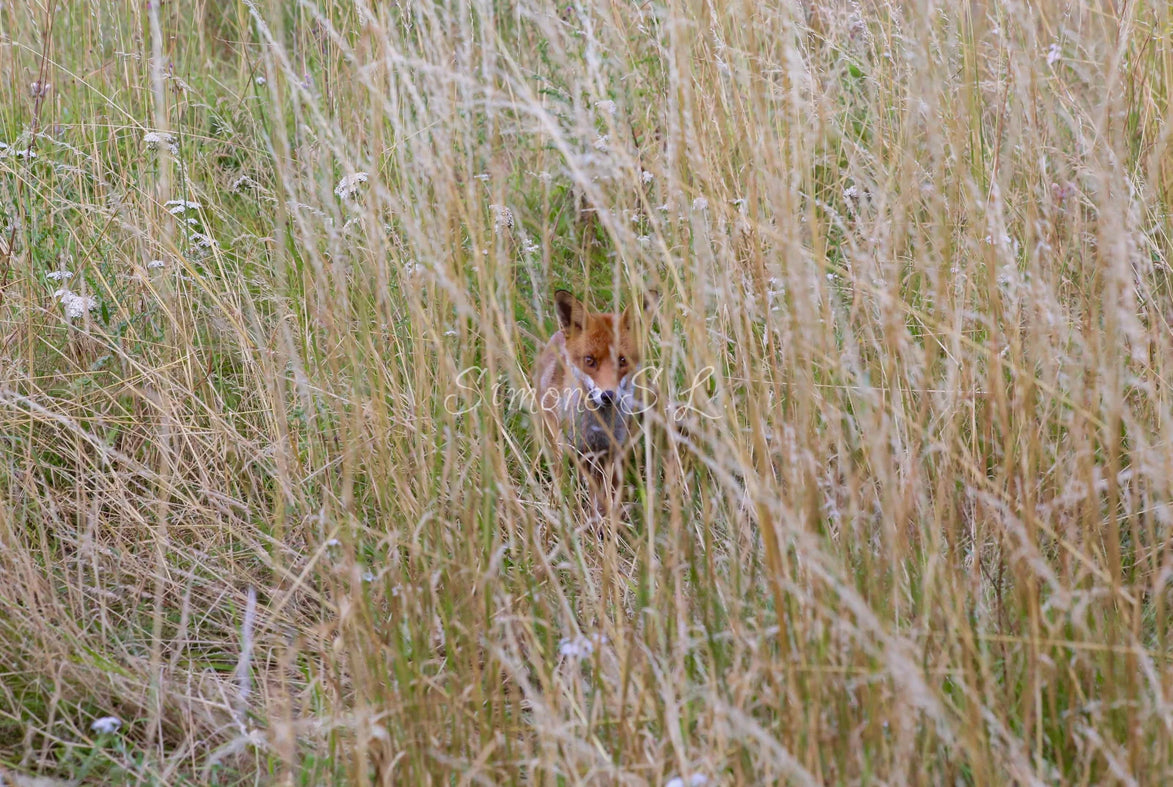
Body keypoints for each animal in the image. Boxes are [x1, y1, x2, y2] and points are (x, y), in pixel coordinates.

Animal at [533, 288, 658, 519]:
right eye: (590, 360)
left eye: (622, 360)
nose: (608, 395)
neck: (596, 429)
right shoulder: (566, 451)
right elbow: (562, 490)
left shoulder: (613, 455)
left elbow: (610, 500)